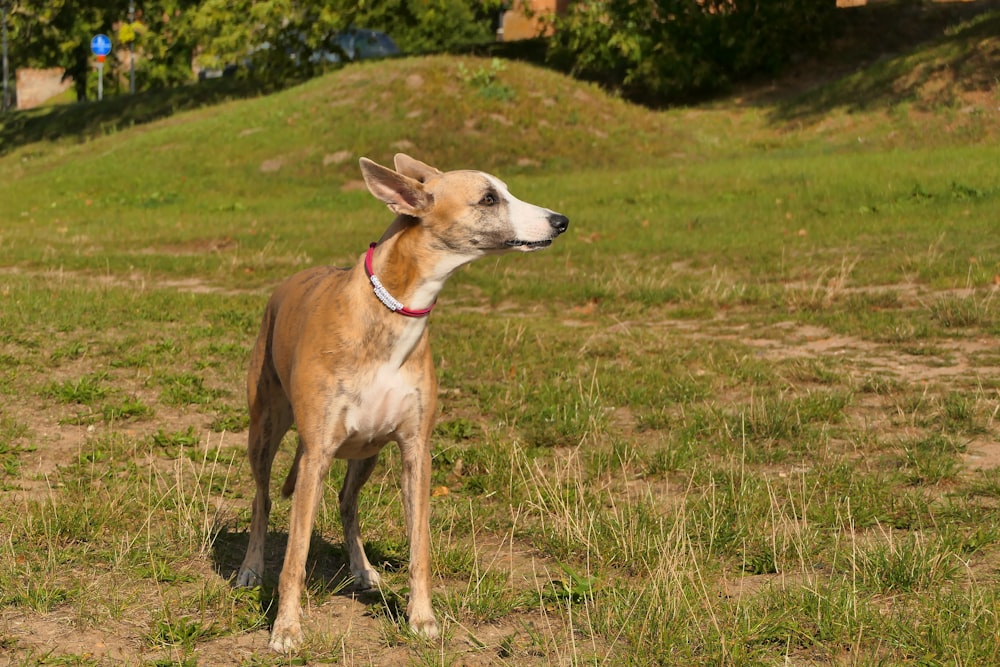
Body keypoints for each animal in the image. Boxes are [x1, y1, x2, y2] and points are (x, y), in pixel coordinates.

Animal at [230, 154, 568, 648]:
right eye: (488, 198)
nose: (561, 221)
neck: (391, 311)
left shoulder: (415, 450)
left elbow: (419, 546)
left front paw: (421, 617)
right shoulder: (316, 455)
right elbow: (294, 557)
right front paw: (286, 629)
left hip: (365, 451)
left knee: (347, 503)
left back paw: (363, 570)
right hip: (266, 429)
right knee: (262, 500)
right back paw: (250, 568)